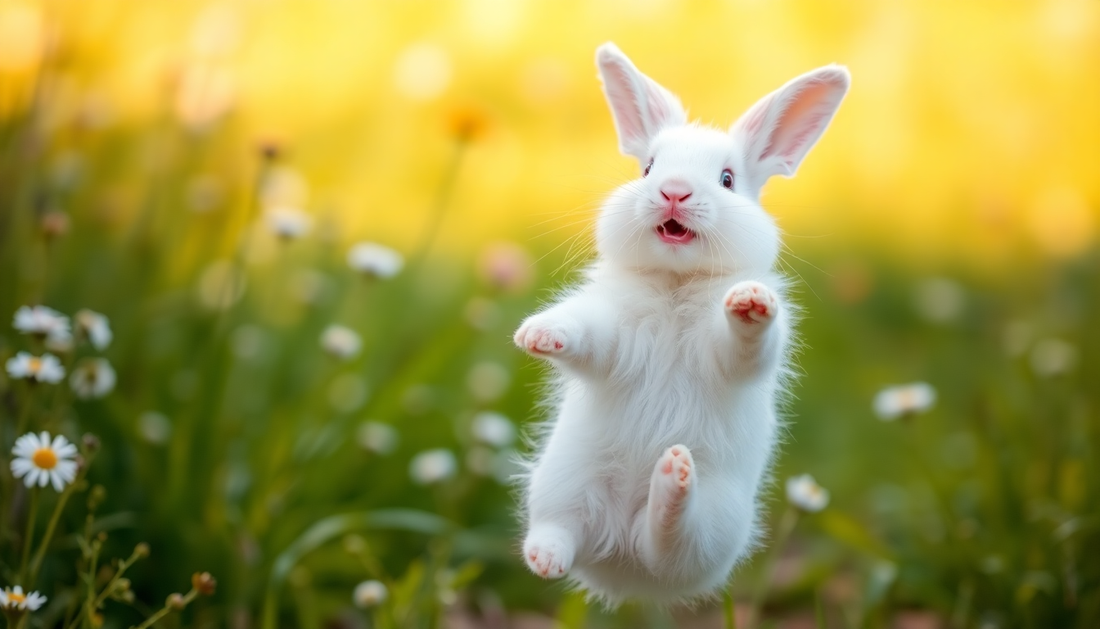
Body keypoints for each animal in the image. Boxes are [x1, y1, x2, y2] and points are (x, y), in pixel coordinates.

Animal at [513, 42, 850, 606]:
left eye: (728, 179)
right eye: (649, 167)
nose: (673, 192)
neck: (675, 283)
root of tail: (622, 569)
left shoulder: (734, 355)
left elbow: (745, 346)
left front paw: (750, 301)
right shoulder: (612, 330)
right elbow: (583, 332)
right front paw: (537, 334)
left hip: (713, 528)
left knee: (667, 536)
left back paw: (671, 478)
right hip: (564, 480)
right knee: (559, 531)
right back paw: (546, 560)